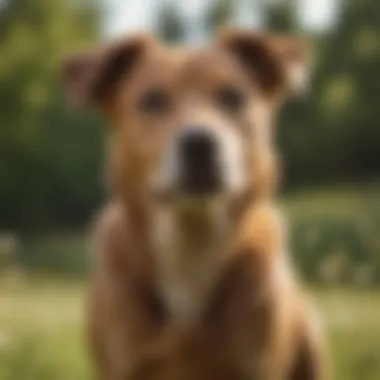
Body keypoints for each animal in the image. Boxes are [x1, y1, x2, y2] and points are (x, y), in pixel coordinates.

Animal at [62, 29, 326, 380]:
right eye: (152, 100)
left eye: (232, 97)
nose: (200, 143)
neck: (191, 239)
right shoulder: (125, 365)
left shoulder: (256, 364)